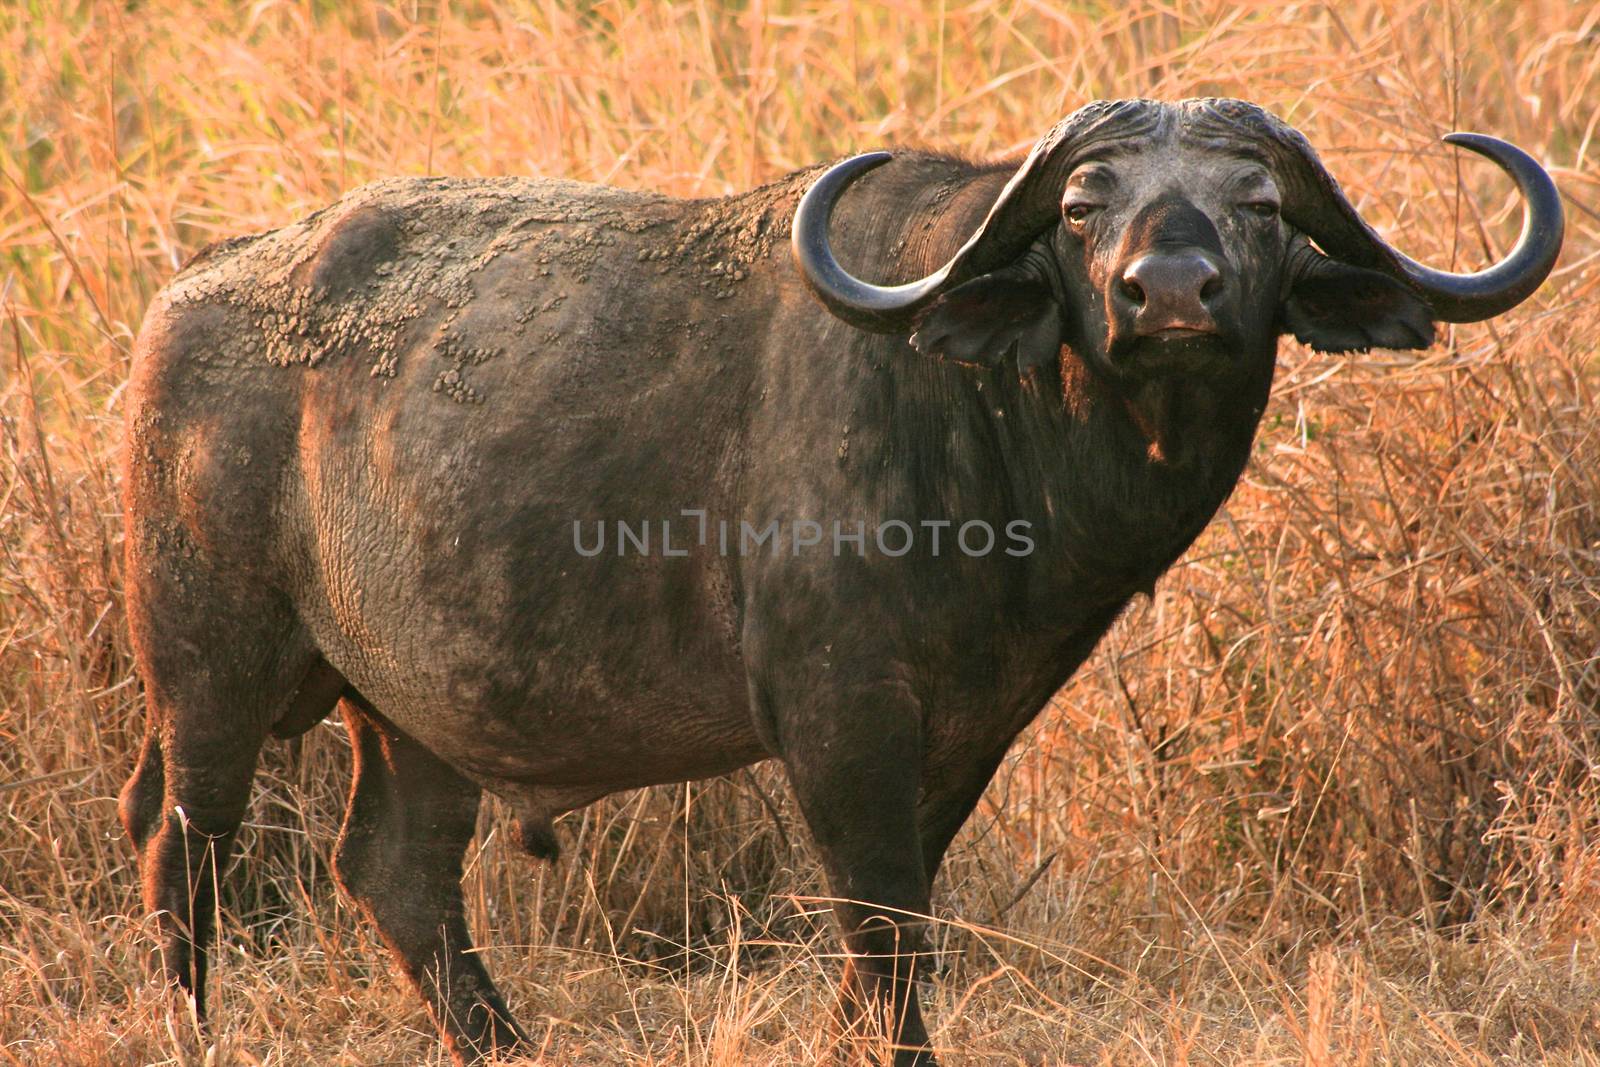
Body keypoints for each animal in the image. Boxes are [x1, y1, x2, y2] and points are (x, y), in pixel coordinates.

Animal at [121, 95, 1561, 1062]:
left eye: (1259, 203)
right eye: (1082, 207)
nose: (1169, 290)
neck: (988, 419)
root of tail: (187, 297)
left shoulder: (965, 728)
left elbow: (897, 915)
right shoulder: (837, 713)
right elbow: (882, 915)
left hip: (413, 709)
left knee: (397, 867)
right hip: (206, 666)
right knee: (181, 839)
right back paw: (196, 1025)